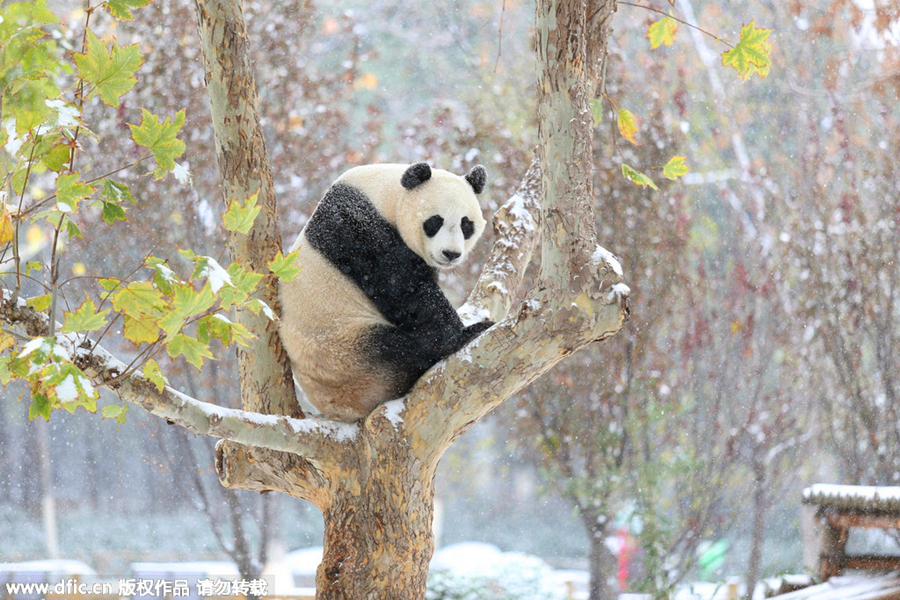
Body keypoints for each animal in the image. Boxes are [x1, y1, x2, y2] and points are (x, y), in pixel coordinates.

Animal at [280, 161, 496, 422]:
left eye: (466, 225)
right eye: (435, 221)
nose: (451, 254)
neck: (384, 195)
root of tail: (340, 410)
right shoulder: (360, 231)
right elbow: (407, 293)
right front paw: (461, 333)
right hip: (343, 352)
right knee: (398, 350)